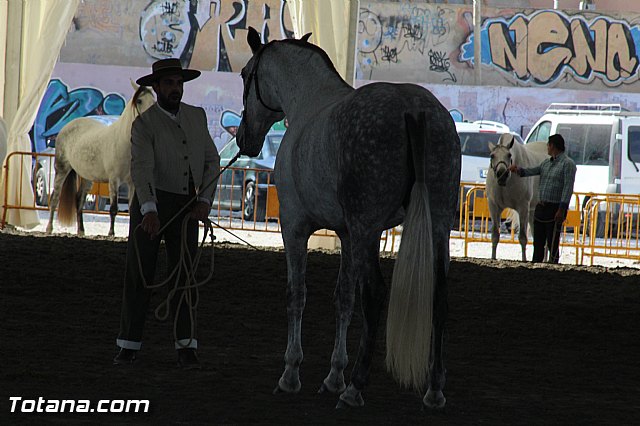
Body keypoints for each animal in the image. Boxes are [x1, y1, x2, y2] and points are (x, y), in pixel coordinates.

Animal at [45, 83, 154, 236]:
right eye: (139, 101)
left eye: (154, 100)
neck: (123, 141)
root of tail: (67, 126)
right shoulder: (114, 180)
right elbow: (113, 208)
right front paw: (111, 233)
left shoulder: (132, 182)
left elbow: (131, 211)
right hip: (61, 170)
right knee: (55, 198)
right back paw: (49, 228)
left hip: (86, 177)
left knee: (79, 199)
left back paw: (81, 231)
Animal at [235, 27, 460, 410]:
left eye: (245, 74)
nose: (242, 138)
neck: (309, 101)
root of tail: (413, 110)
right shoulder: (347, 234)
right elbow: (344, 299)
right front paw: (333, 376)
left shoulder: (294, 227)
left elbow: (297, 295)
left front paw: (292, 374)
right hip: (438, 226)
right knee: (440, 296)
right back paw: (434, 390)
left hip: (368, 230)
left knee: (375, 294)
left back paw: (356, 388)